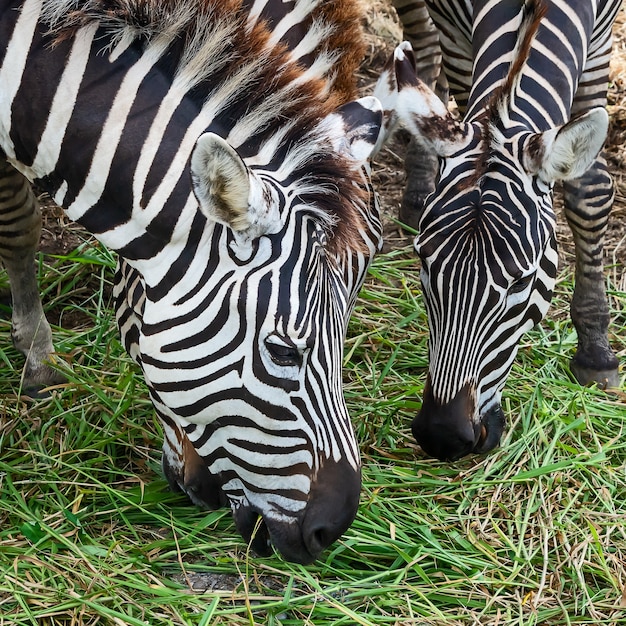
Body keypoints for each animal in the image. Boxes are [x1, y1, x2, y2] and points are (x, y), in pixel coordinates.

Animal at [378, 0, 620, 458]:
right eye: (423, 264)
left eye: (521, 282)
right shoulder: (456, 36)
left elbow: (589, 191)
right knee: (424, 45)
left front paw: (596, 352)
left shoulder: (599, 46)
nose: (442, 436)